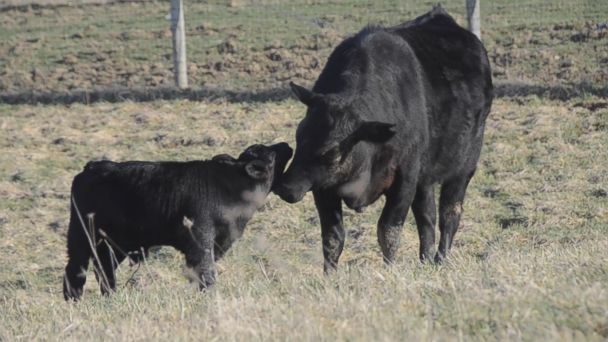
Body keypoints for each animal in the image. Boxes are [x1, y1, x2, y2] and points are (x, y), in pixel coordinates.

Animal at [63, 143, 290, 300]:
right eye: (269, 154)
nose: (285, 145)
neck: (230, 185)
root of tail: (94, 166)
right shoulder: (201, 240)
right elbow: (206, 273)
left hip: (112, 245)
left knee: (104, 269)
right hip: (80, 236)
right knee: (76, 270)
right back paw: (74, 300)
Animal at [276, 6, 494, 272]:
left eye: (333, 153)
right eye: (299, 135)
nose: (286, 188)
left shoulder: (405, 179)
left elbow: (388, 230)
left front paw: (389, 270)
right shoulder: (323, 187)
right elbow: (332, 237)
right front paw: (329, 275)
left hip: (463, 166)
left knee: (449, 214)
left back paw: (440, 260)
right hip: (425, 178)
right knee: (427, 217)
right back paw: (425, 261)